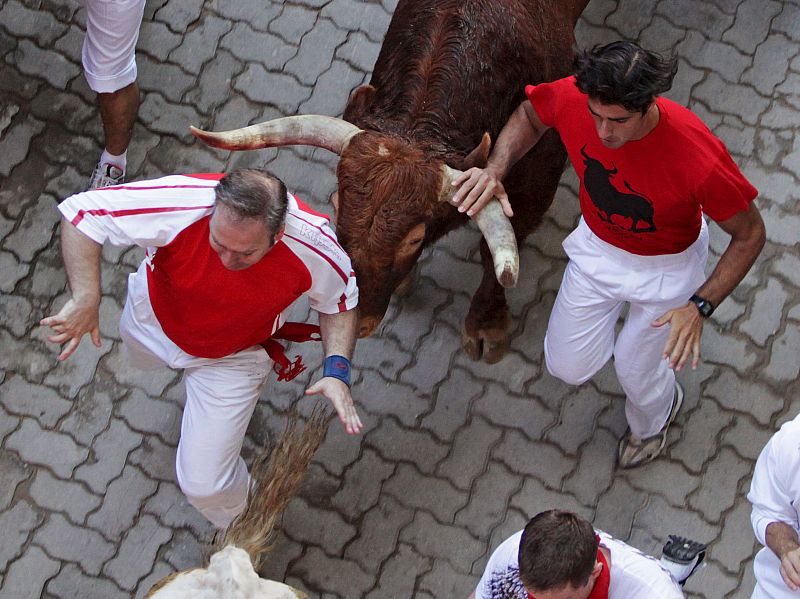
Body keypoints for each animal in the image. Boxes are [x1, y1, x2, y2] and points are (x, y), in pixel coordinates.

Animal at [192, 0, 592, 364]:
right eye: (336, 207)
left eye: (414, 237)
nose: (353, 323)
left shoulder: (537, 178)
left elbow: (494, 250)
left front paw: (486, 324)